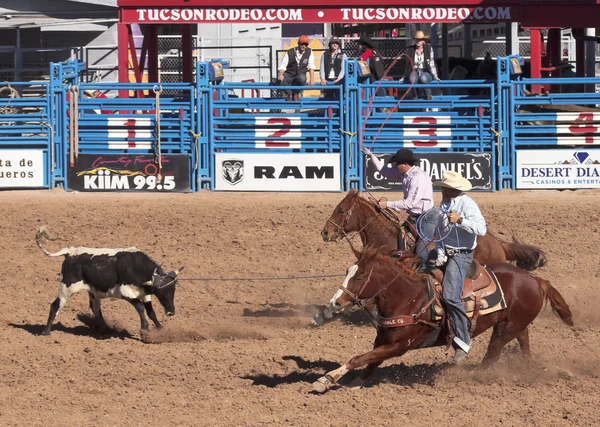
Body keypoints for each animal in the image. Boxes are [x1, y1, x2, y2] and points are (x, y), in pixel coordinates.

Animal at [37, 229, 183, 336]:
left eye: (173, 290)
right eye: (161, 292)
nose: (171, 312)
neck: (135, 267)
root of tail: (70, 251)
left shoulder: (145, 293)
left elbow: (150, 311)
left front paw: (160, 328)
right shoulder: (125, 292)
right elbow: (140, 307)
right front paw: (144, 328)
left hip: (93, 292)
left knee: (95, 309)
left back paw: (107, 330)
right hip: (67, 288)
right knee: (55, 305)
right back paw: (46, 332)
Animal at [312, 247, 576, 394]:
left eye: (361, 276)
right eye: (348, 271)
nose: (336, 303)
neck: (409, 298)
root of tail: (535, 280)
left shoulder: (400, 346)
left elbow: (359, 358)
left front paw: (327, 379)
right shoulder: (383, 340)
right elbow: (370, 361)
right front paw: (355, 382)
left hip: (504, 331)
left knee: (491, 356)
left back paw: (464, 376)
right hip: (514, 325)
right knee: (524, 345)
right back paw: (527, 370)